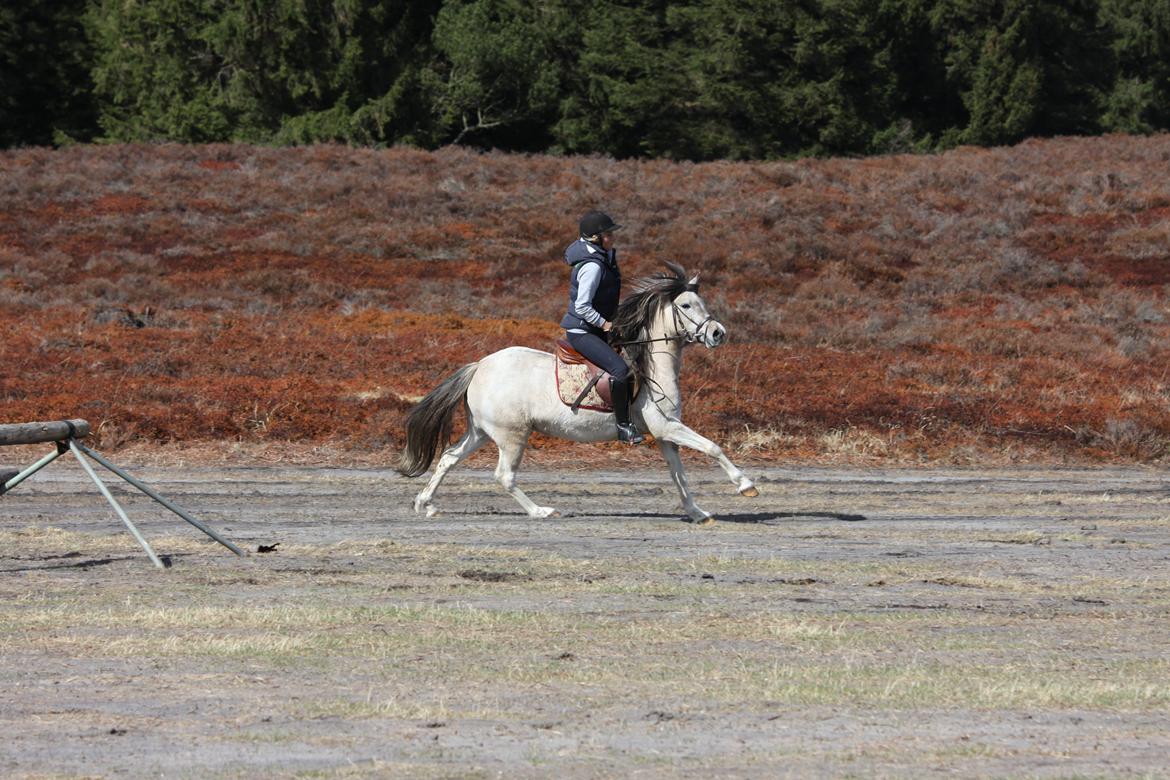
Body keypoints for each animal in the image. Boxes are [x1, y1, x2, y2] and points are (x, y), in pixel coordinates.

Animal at [395, 261, 758, 523]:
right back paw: (542, 511)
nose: (718, 333)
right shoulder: (667, 427)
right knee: (504, 476)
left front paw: (697, 513)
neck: (652, 364)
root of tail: (479, 366)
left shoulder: (664, 434)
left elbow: (679, 475)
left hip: (482, 431)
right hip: (512, 435)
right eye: (685, 305)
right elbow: (712, 447)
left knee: (448, 458)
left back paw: (426, 504)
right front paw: (746, 485)